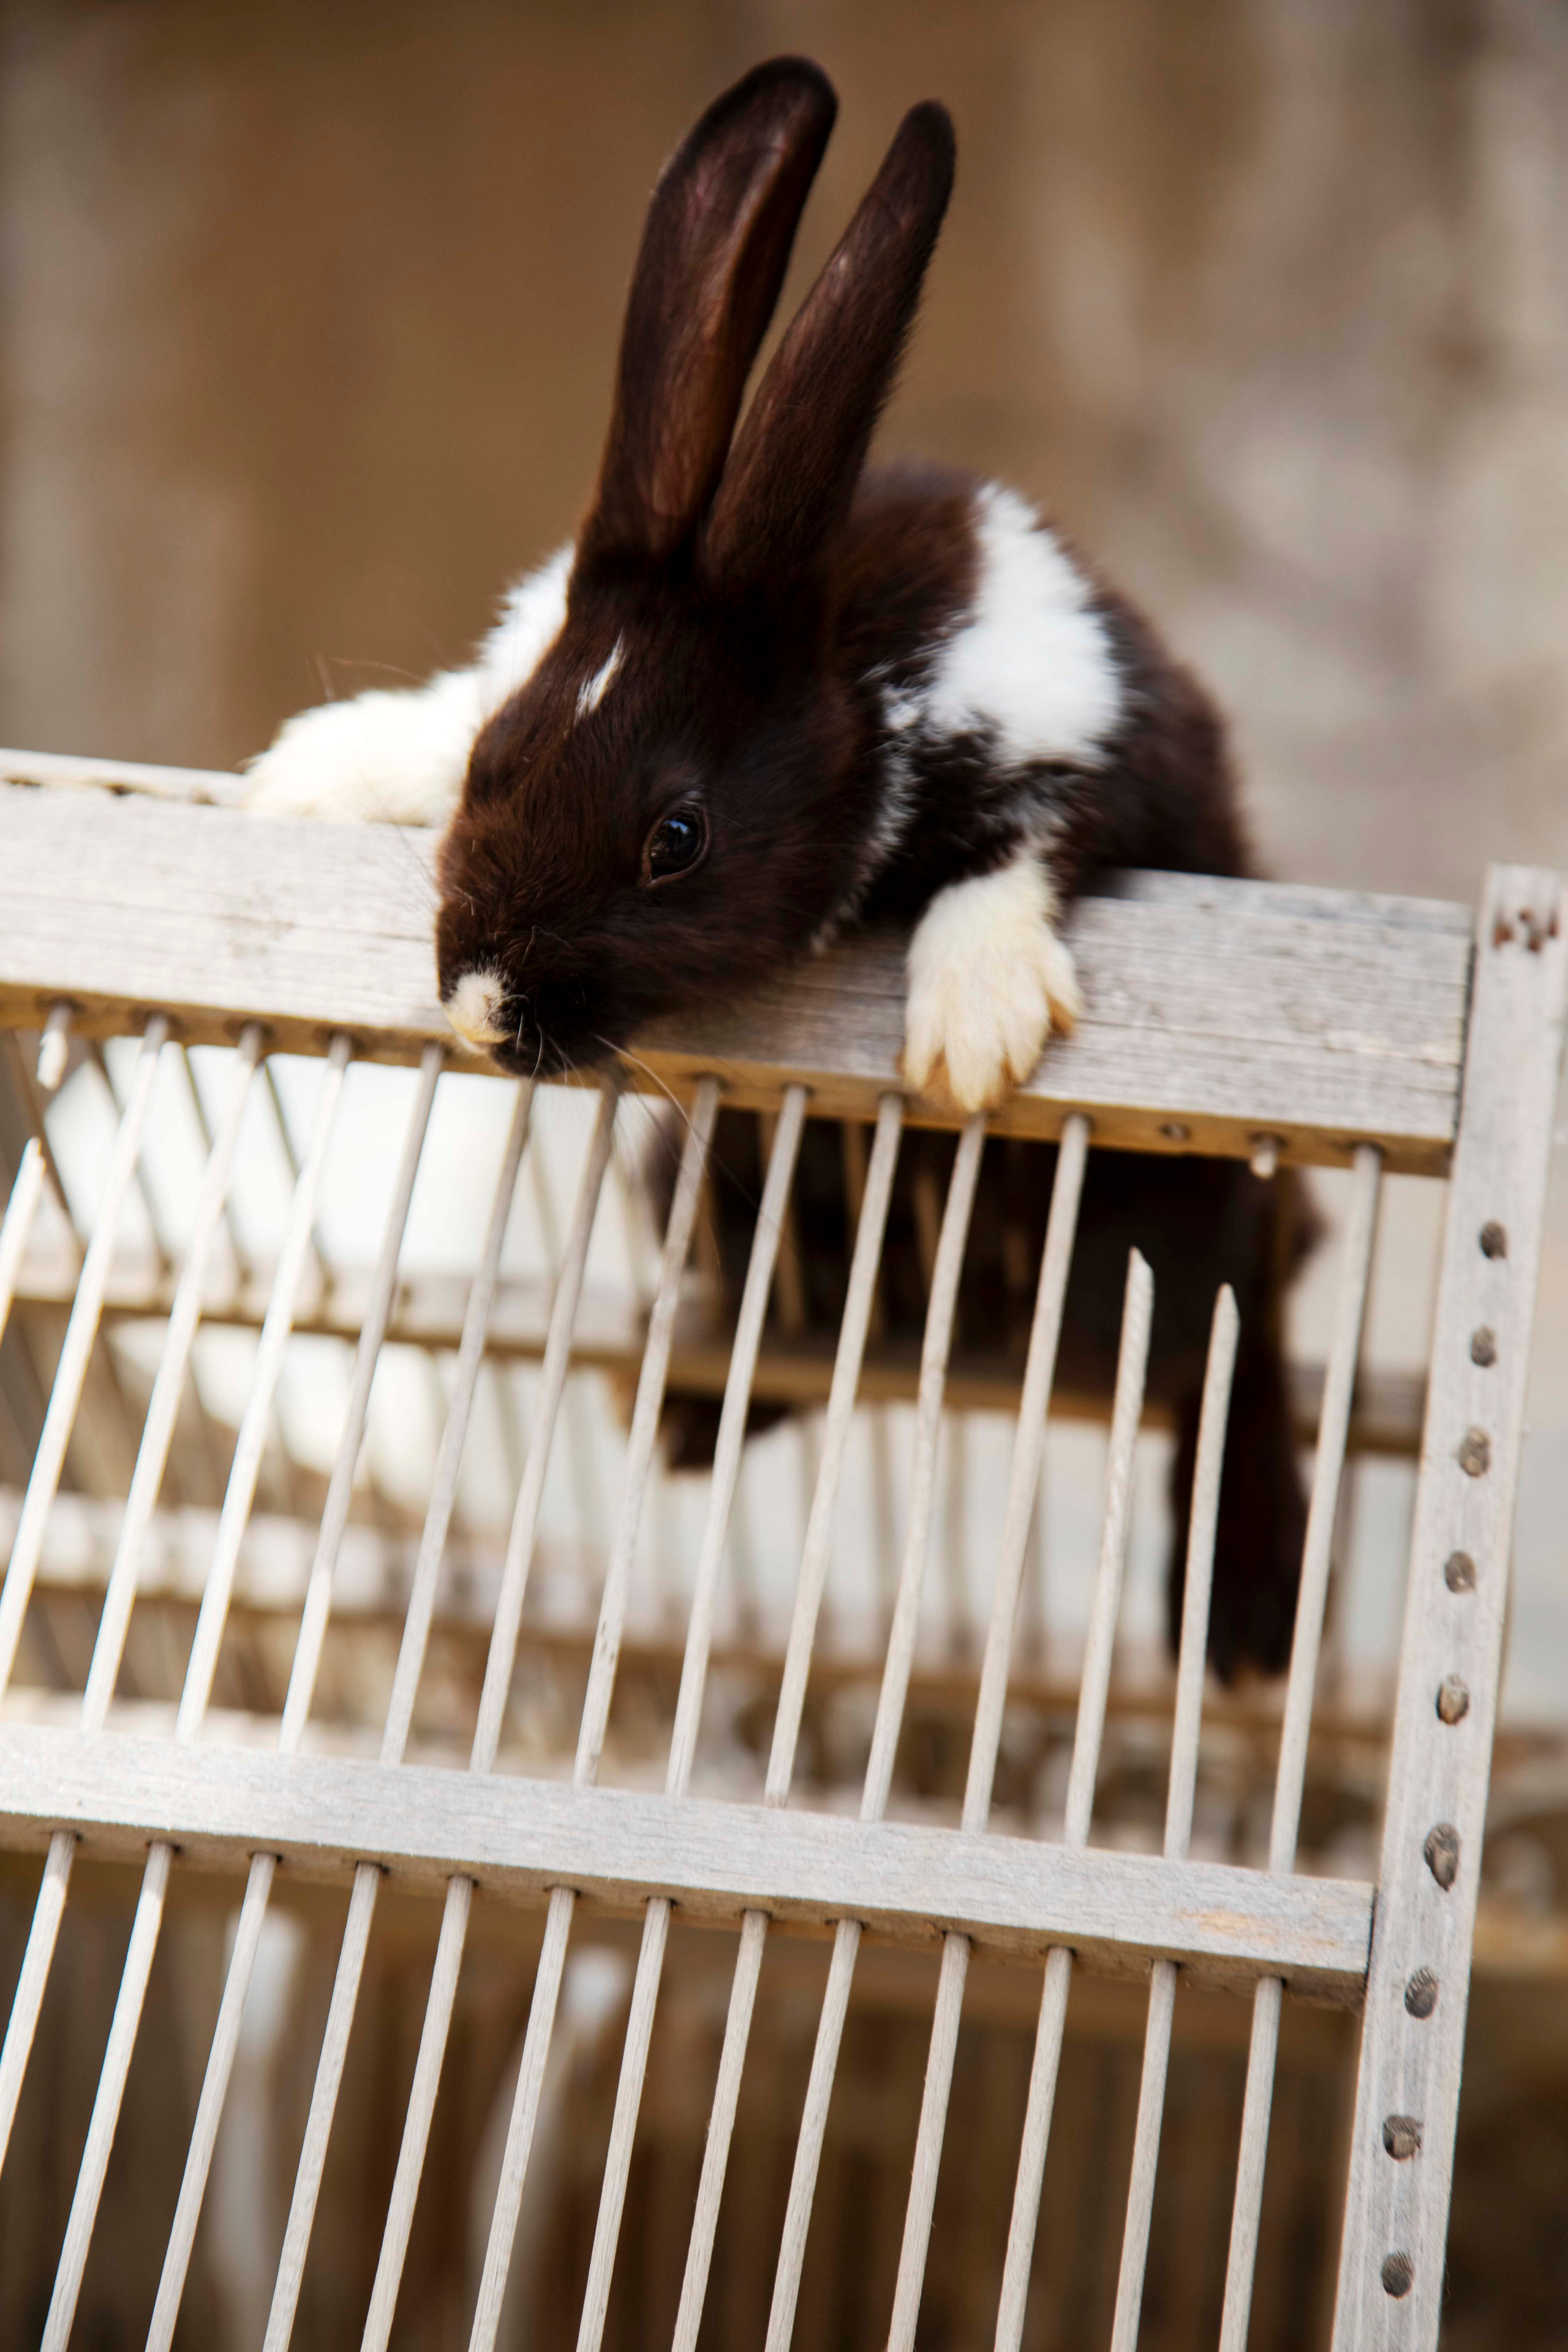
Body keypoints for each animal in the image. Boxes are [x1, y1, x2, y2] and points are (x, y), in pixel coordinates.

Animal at [246, 57, 1316, 1675]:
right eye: (500, 758)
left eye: (674, 841)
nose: (482, 1009)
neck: (853, 656)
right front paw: (308, 773)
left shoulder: (1106, 756)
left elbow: (1026, 848)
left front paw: (970, 1029)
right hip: (698, 1180)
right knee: (803, 1342)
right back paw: (678, 1415)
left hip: (1181, 1229)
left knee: (1233, 1340)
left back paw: (1241, 1618)